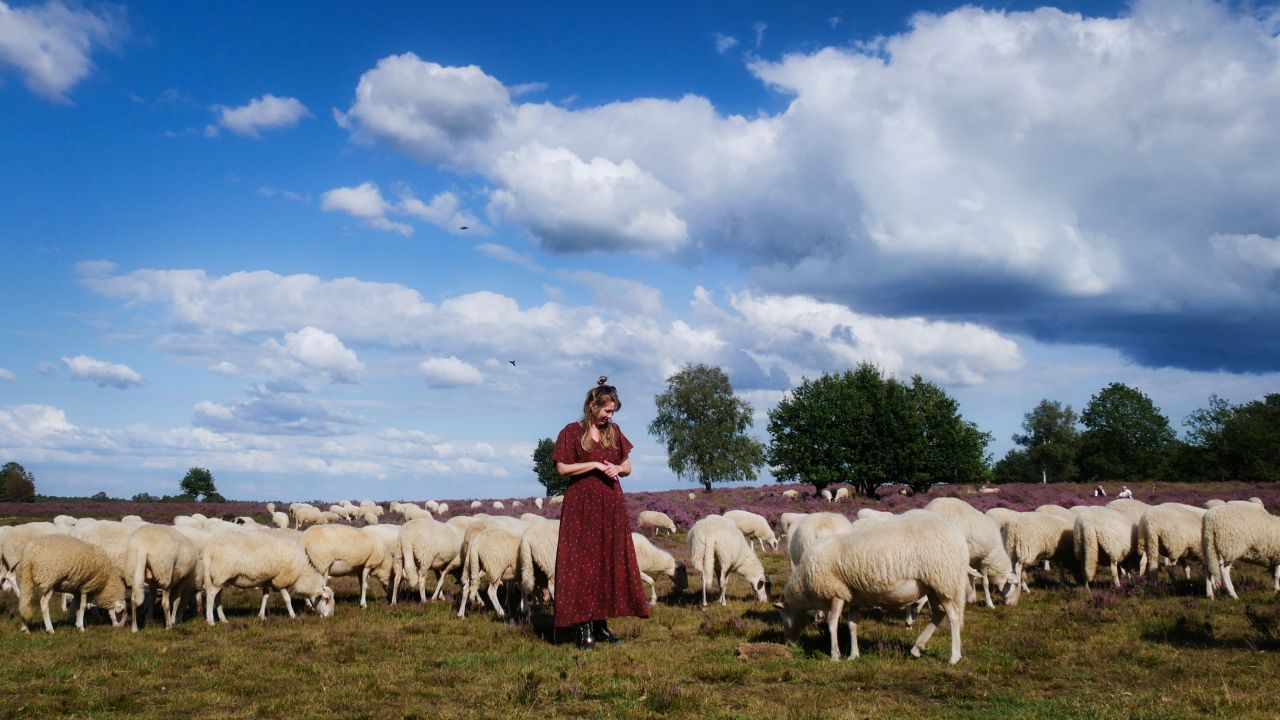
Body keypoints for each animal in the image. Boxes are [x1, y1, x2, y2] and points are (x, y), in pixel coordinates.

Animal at [200, 527, 335, 622]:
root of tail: (208, 548)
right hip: (220, 573)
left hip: (220, 578)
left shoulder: (268, 580)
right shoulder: (280, 579)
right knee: (211, 595)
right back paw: (210, 620)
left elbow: (265, 597)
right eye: (325, 599)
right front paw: (293, 615)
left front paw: (261, 615)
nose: (330, 617)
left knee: (217, 597)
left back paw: (223, 619)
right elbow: (287, 599)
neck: (301, 573)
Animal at [768, 507, 967, 666]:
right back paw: (916, 649)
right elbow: (852, 625)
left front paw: (835, 655)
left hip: (943, 580)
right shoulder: (853, 597)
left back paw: (954, 657)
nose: (789, 644)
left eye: (783, 617)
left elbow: (832, 623)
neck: (804, 585)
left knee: (953, 617)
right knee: (938, 613)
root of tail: (958, 537)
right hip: (934, 586)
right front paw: (853, 655)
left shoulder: (836, 592)